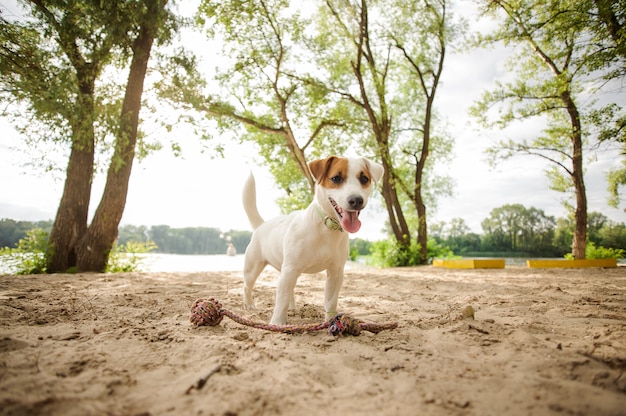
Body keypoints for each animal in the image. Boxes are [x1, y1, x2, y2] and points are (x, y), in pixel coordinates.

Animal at [241, 155, 382, 324]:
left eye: (364, 179)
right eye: (336, 178)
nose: (356, 200)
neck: (326, 228)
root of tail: (261, 225)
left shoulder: (336, 273)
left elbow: (330, 301)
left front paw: (330, 322)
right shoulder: (290, 269)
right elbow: (280, 301)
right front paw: (277, 324)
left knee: (289, 290)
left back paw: (292, 307)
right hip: (254, 268)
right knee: (248, 287)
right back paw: (249, 305)